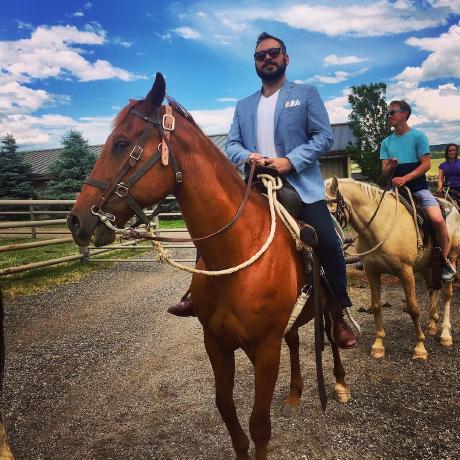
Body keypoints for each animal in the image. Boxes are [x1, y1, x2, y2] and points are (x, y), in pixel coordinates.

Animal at [67, 74, 350, 460]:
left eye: (121, 144)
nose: (76, 220)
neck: (236, 255)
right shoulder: (215, 343)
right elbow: (226, 408)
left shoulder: (265, 349)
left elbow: (259, 423)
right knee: (294, 342)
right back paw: (294, 395)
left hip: (326, 307)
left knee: (333, 336)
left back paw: (340, 381)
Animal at [325, 177, 460, 360]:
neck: (381, 226)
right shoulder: (371, 271)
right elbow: (376, 305)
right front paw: (378, 345)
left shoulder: (406, 272)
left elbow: (413, 308)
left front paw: (420, 348)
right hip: (427, 267)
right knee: (433, 289)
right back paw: (432, 324)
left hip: (450, 258)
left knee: (447, 294)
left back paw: (445, 335)